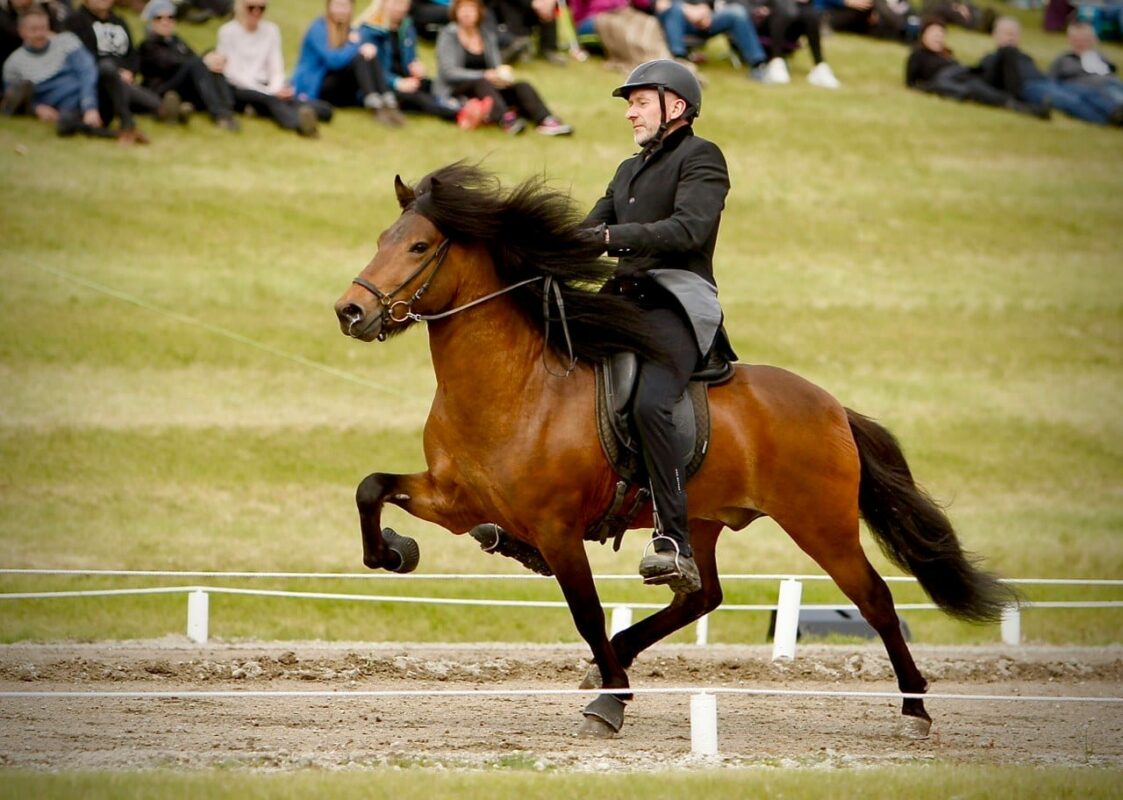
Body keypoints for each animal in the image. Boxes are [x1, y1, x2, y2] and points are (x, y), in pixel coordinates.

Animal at [330, 160, 1010, 737]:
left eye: (419, 247)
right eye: (383, 238)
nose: (350, 311)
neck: (513, 383)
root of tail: (833, 407)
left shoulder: (557, 529)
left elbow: (586, 611)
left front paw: (610, 704)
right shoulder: (456, 500)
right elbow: (371, 488)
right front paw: (392, 551)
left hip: (822, 525)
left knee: (876, 600)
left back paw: (914, 709)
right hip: (698, 521)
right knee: (700, 594)